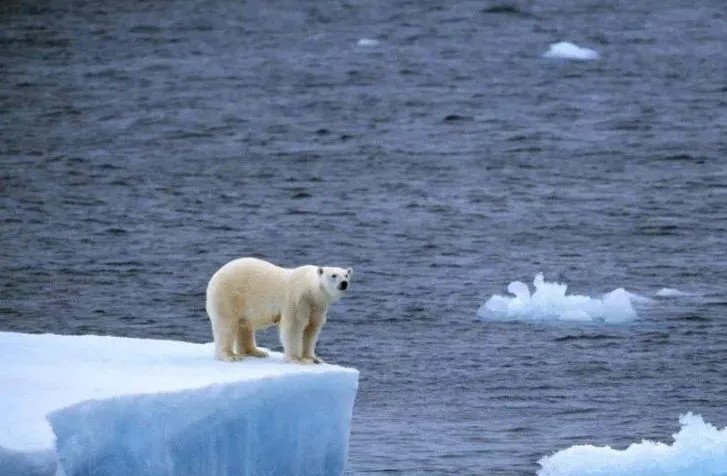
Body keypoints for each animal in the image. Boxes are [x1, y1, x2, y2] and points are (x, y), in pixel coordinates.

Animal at [205, 258, 352, 362]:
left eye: (346, 275)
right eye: (333, 275)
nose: (344, 283)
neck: (311, 289)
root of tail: (215, 276)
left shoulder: (317, 306)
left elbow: (311, 329)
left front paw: (313, 358)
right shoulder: (297, 299)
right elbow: (294, 327)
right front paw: (296, 359)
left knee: (244, 326)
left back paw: (256, 352)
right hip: (228, 296)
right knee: (226, 325)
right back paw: (230, 355)